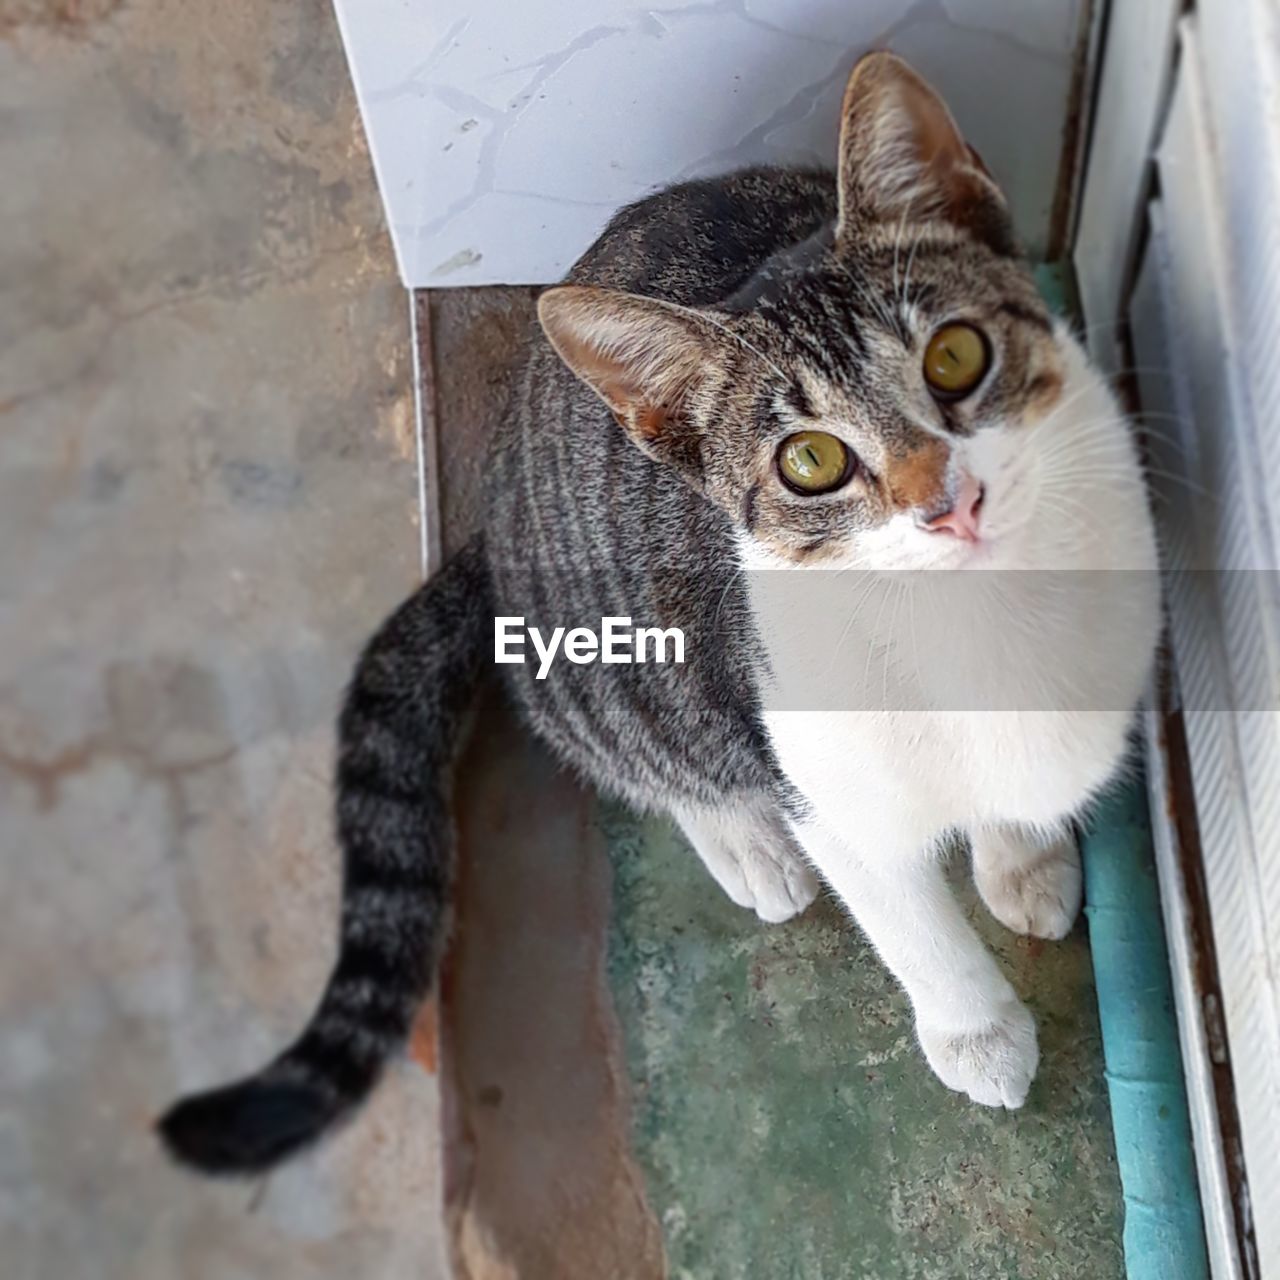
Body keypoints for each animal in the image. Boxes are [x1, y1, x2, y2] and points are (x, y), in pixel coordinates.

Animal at [160, 47, 1162, 1172]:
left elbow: (1026, 781)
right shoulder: (819, 769)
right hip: (618, 662)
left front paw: (1024, 852)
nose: (949, 503)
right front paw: (975, 1030)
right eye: (810, 462)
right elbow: (901, 910)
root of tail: (497, 504)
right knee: (633, 742)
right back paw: (744, 842)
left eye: (955, 355)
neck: (980, 624)